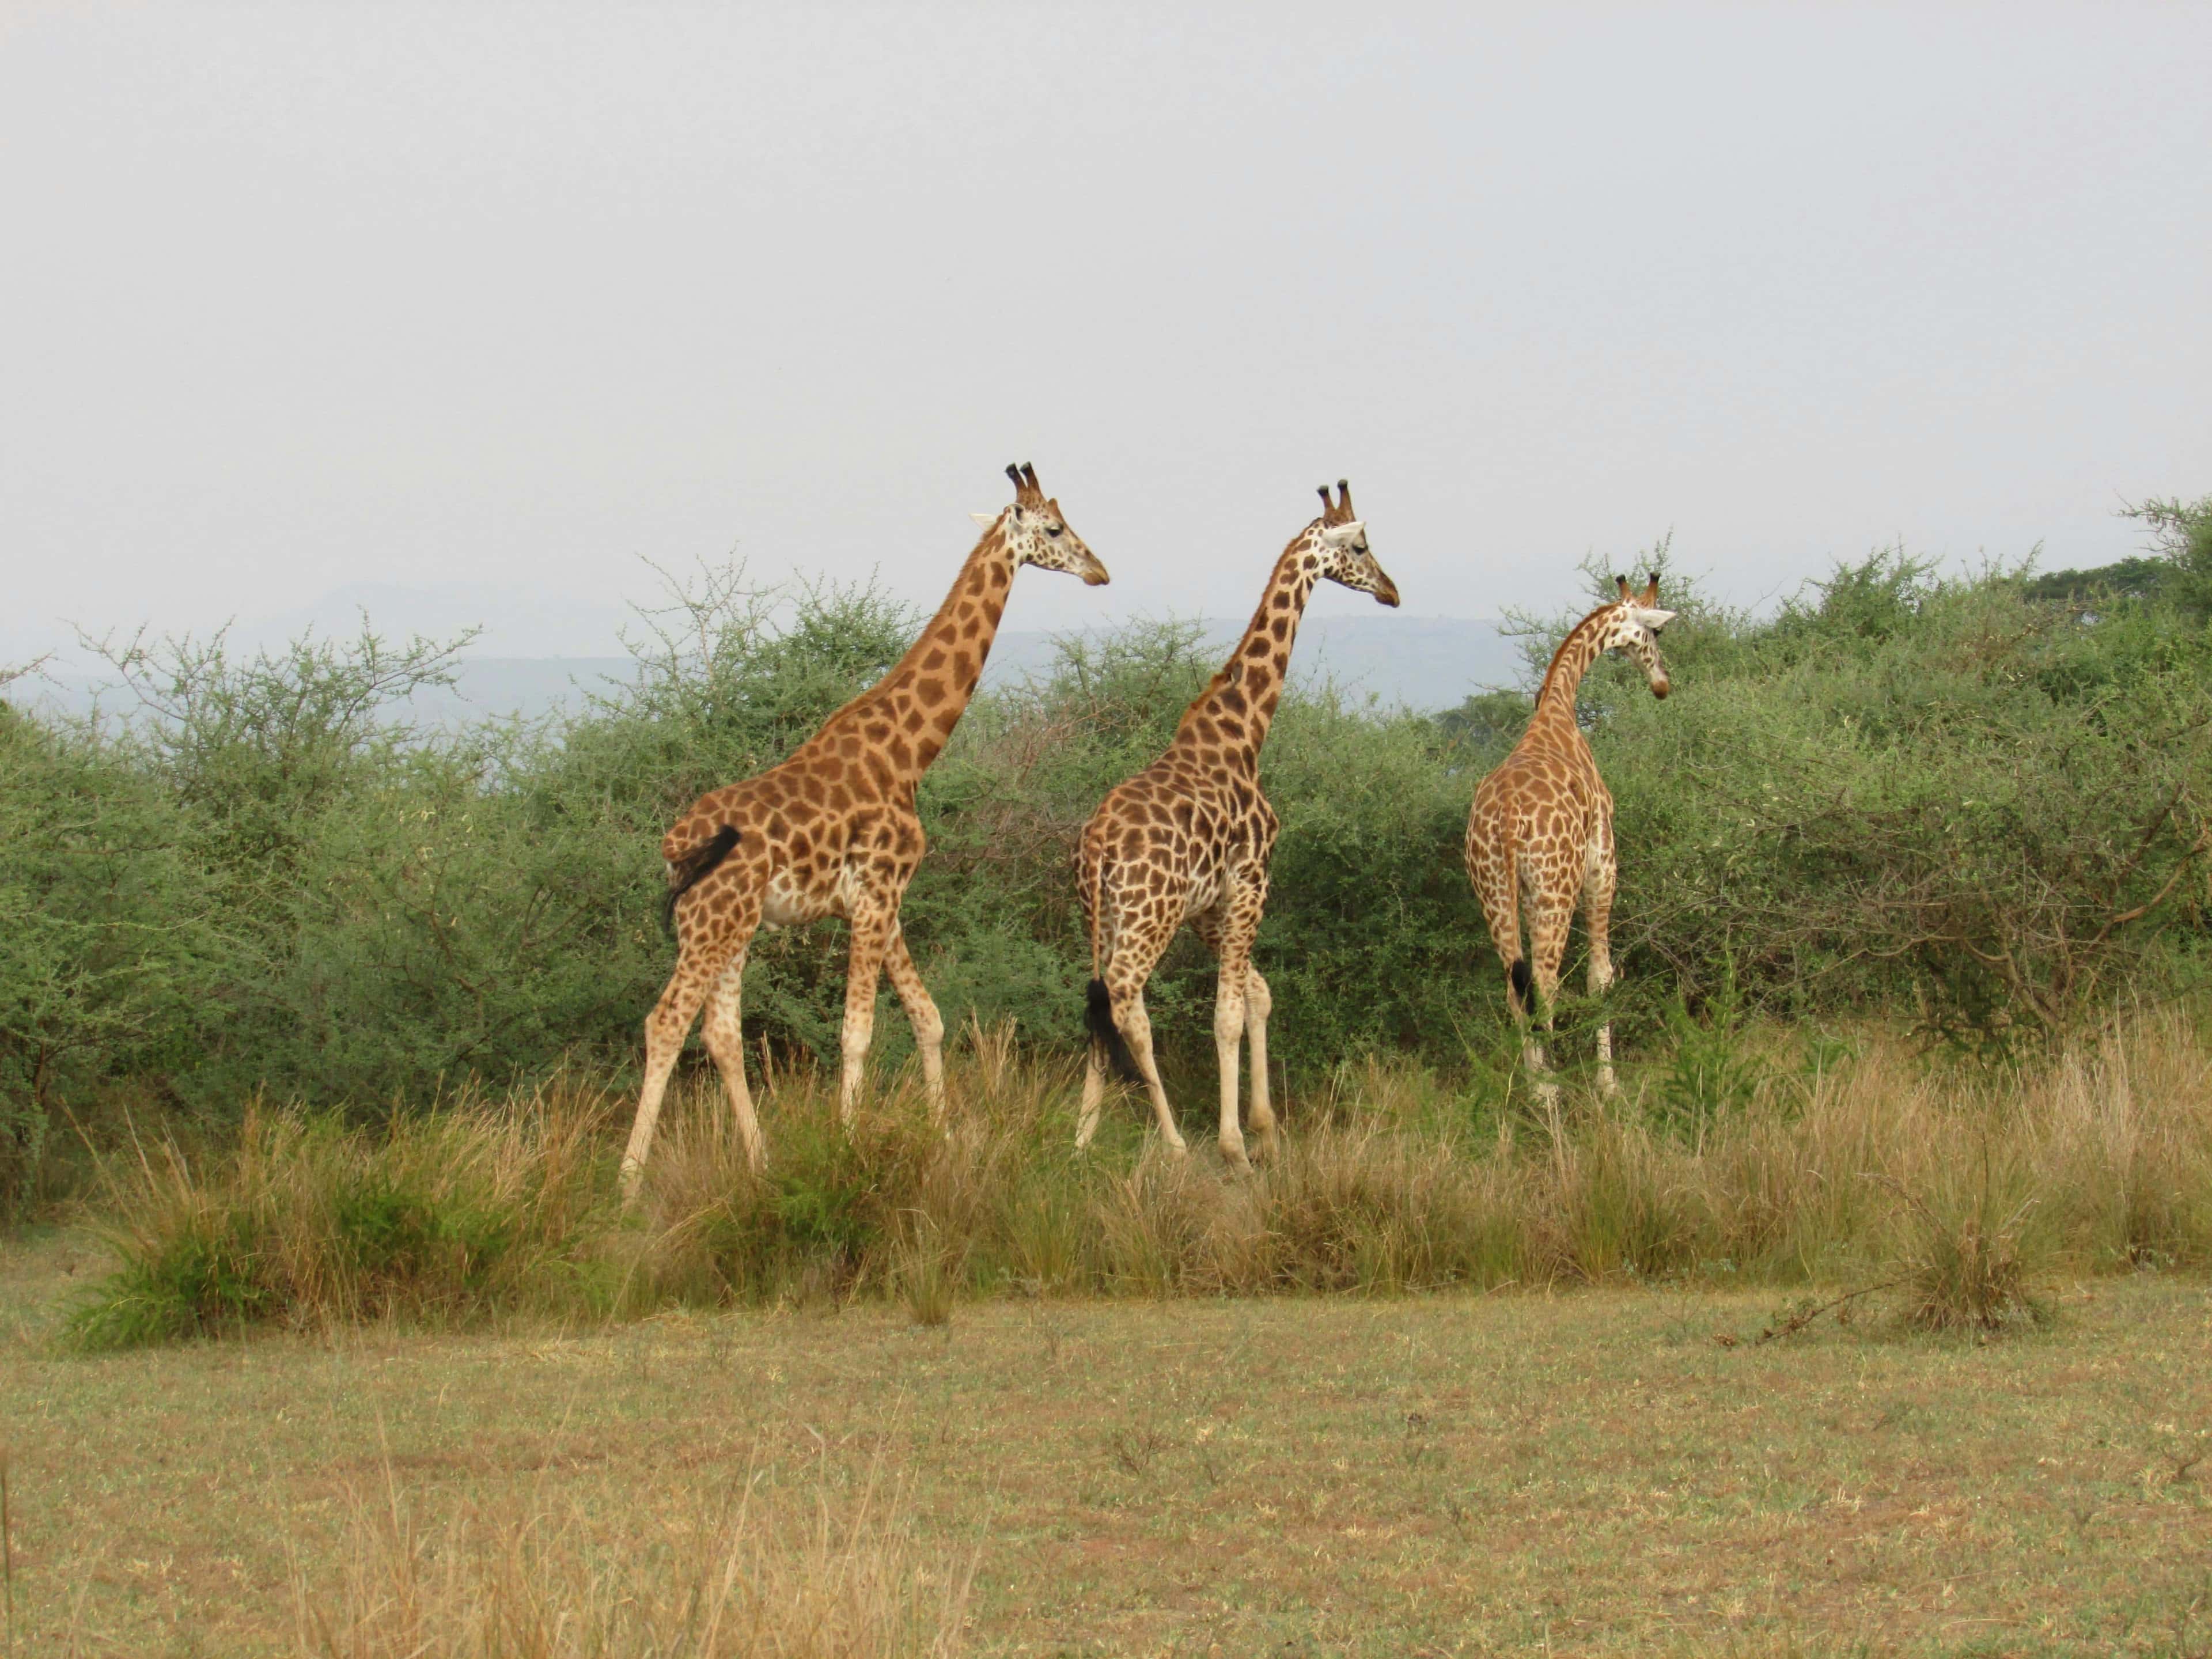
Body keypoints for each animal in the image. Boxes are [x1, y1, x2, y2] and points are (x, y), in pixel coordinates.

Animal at [619, 463, 1110, 1202]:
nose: (1100, 571)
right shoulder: (877, 895)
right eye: (1054, 528)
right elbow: (858, 1031)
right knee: (667, 1022)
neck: (906, 752)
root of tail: (675, 848)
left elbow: (929, 1018)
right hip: (712, 924)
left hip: (730, 926)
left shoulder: (884, 900)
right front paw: (847, 1149)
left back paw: (760, 1163)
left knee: (721, 1033)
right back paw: (627, 1184)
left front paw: (941, 1137)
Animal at [1074, 481, 1399, 1171]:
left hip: (1102, 915)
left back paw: (1082, 1138)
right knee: (1128, 1000)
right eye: (1361, 545)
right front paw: (1235, 1146)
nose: (1391, 590)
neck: (1244, 735)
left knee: (1099, 1001)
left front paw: (1266, 1129)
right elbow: (1226, 1013)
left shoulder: (1208, 904)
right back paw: (1173, 1142)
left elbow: (1258, 991)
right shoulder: (1251, 880)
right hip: (1150, 914)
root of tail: (1099, 848)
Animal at [1464, 574, 1674, 1101]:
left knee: (1516, 990)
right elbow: (1601, 977)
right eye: (1658, 632)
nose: (1663, 684)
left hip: (1495, 891)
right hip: (1553, 891)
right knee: (1546, 986)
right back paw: (1551, 1095)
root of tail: (1506, 820)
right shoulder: (1603, 863)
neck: (1560, 706)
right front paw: (1608, 1085)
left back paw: (1535, 1092)